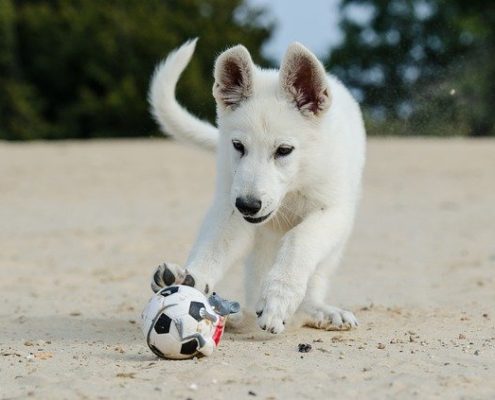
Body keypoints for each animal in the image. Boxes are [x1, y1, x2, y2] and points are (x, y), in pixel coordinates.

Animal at [147, 39, 364, 332]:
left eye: (284, 150)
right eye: (238, 146)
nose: (248, 206)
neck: (294, 185)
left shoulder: (332, 210)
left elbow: (299, 241)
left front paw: (278, 298)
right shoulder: (230, 208)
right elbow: (212, 248)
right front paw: (191, 280)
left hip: (332, 248)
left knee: (314, 278)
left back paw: (317, 310)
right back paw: (237, 314)